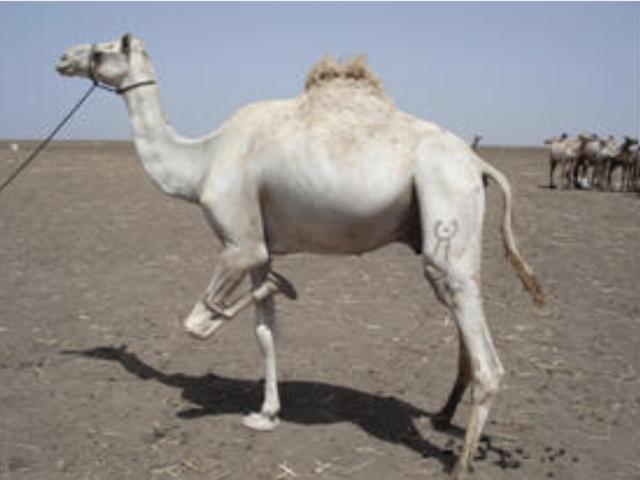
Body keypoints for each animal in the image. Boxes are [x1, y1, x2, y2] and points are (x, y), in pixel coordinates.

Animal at [56, 34, 544, 478]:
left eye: (100, 50)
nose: (63, 58)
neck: (203, 160)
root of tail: (478, 164)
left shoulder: (240, 243)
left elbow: (196, 324)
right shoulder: (261, 250)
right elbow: (265, 332)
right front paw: (266, 413)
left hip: (446, 206)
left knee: (485, 355)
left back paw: (460, 462)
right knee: (462, 315)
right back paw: (441, 416)